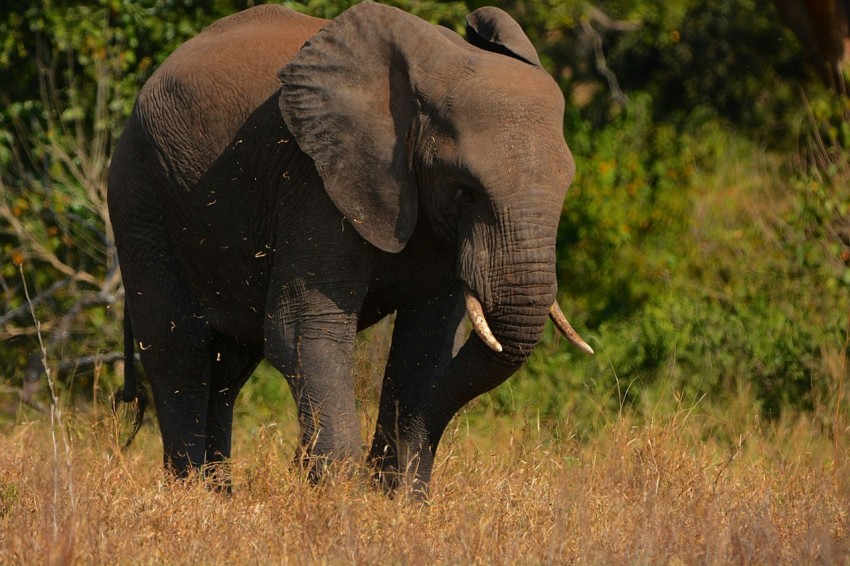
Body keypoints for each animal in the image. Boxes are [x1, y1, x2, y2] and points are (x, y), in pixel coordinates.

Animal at [108, 1, 593, 496]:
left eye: (567, 185)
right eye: (465, 190)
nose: (295, 461)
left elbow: (428, 344)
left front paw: (399, 501)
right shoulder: (315, 176)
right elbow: (302, 328)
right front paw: (343, 500)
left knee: (229, 365)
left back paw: (220, 494)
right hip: (140, 198)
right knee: (178, 349)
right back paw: (193, 495)